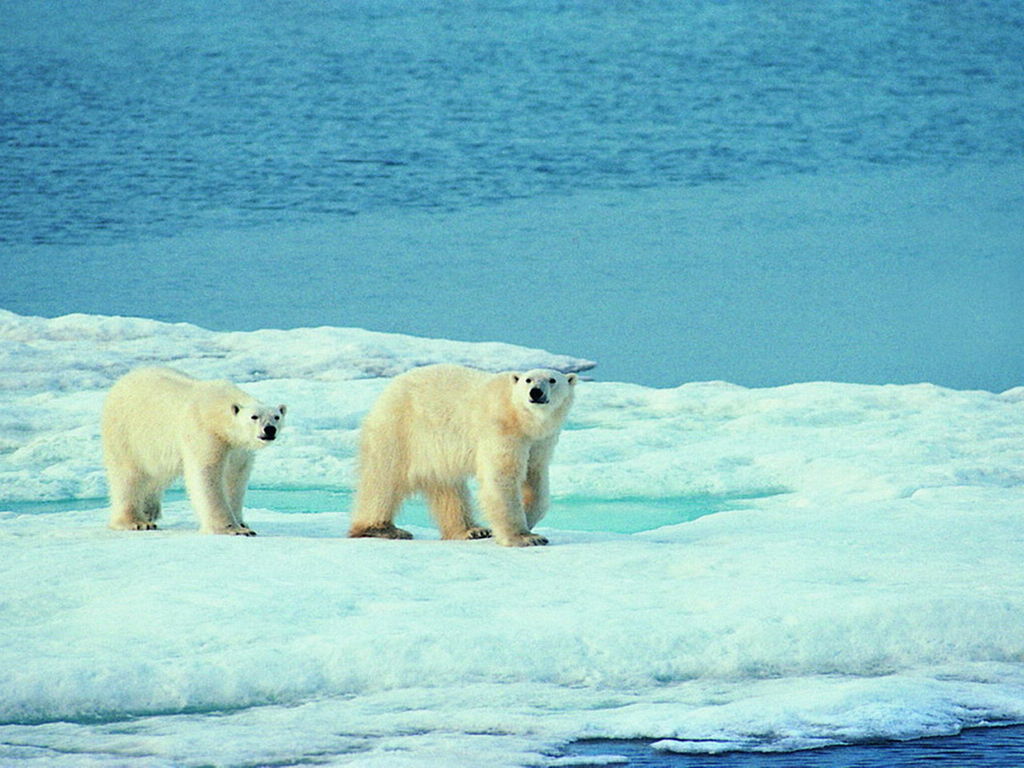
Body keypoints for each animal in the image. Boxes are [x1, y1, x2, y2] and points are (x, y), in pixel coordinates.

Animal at [102, 370, 286, 536]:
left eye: (276, 416)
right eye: (254, 417)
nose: (269, 429)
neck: (216, 412)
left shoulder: (238, 448)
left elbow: (236, 477)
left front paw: (241, 522)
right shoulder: (205, 433)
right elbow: (206, 475)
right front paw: (233, 529)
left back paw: (149, 510)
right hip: (127, 433)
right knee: (127, 475)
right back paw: (136, 522)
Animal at [350, 362, 577, 548]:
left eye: (552, 380)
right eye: (528, 379)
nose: (535, 392)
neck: (520, 418)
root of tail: (389, 390)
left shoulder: (540, 441)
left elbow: (535, 477)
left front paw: (527, 520)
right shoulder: (500, 430)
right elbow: (502, 477)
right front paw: (525, 537)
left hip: (435, 452)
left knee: (448, 486)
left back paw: (471, 530)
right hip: (400, 429)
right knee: (383, 478)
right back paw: (381, 528)